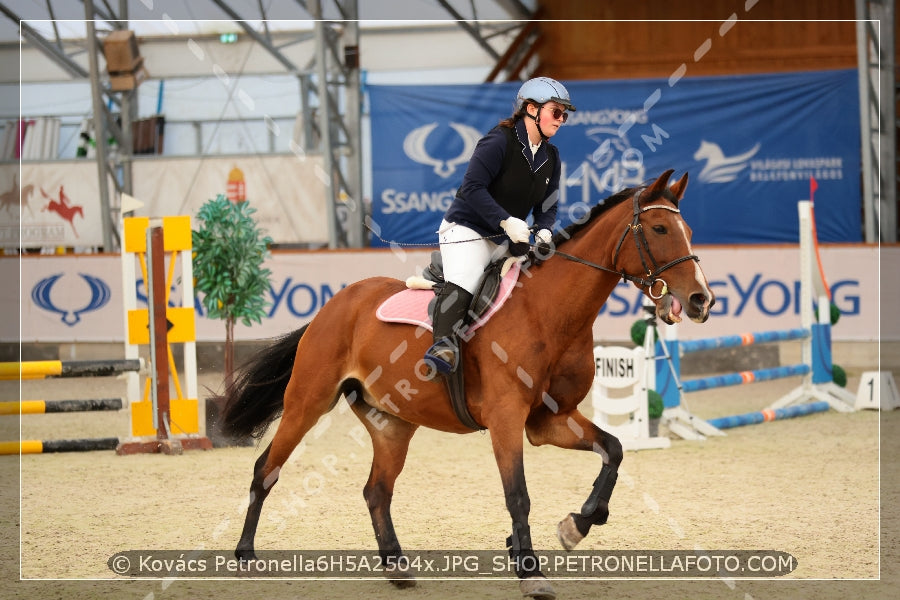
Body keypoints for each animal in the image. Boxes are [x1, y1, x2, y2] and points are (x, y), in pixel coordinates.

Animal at [220, 169, 716, 600]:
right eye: (658, 228)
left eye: (687, 228)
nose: (701, 300)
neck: (550, 312)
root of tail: (335, 304)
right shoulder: (506, 419)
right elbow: (518, 496)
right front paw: (530, 571)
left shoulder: (549, 420)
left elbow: (613, 450)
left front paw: (578, 524)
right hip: (308, 402)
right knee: (266, 469)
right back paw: (245, 556)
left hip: (392, 424)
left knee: (377, 491)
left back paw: (397, 567)